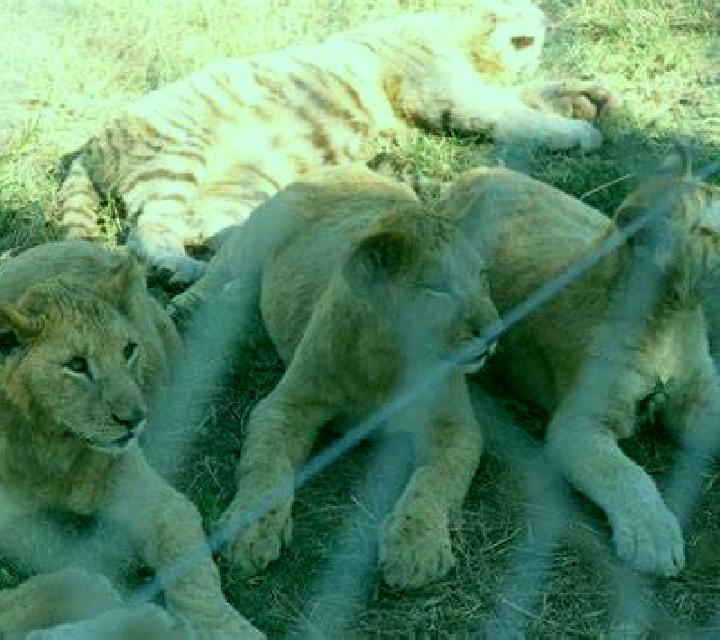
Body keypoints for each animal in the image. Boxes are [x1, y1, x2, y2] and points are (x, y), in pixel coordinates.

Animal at [0, 240, 263, 639]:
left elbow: (195, 576)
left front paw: (230, 629)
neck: (56, 445)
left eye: (128, 350)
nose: (135, 419)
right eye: (76, 365)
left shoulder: (160, 504)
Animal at [180, 166, 500, 589]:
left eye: (483, 276)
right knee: (223, 261)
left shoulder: (457, 428)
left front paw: (416, 548)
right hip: (262, 231)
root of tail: (352, 168)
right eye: (438, 288)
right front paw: (250, 532)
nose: (495, 333)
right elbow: (266, 465)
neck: (391, 358)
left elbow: (436, 482)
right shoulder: (286, 406)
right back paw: (190, 302)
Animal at [440, 155, 720, 577]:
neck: (671, 317)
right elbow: (627, 475)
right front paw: (653, 538)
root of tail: (471, 175)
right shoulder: (580, 425)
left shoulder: (700, 389)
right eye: (706, 230)